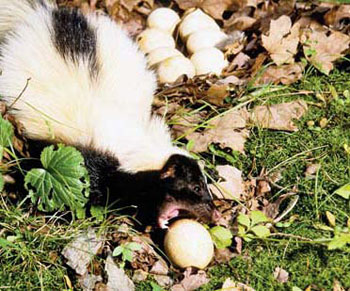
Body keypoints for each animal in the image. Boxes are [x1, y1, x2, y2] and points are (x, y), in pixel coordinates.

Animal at [0, 0, 219, 228]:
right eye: (195, 188)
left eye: (203, 185)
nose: (216, 214)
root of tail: (44, 14)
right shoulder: (86, 160)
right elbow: (77, 187)